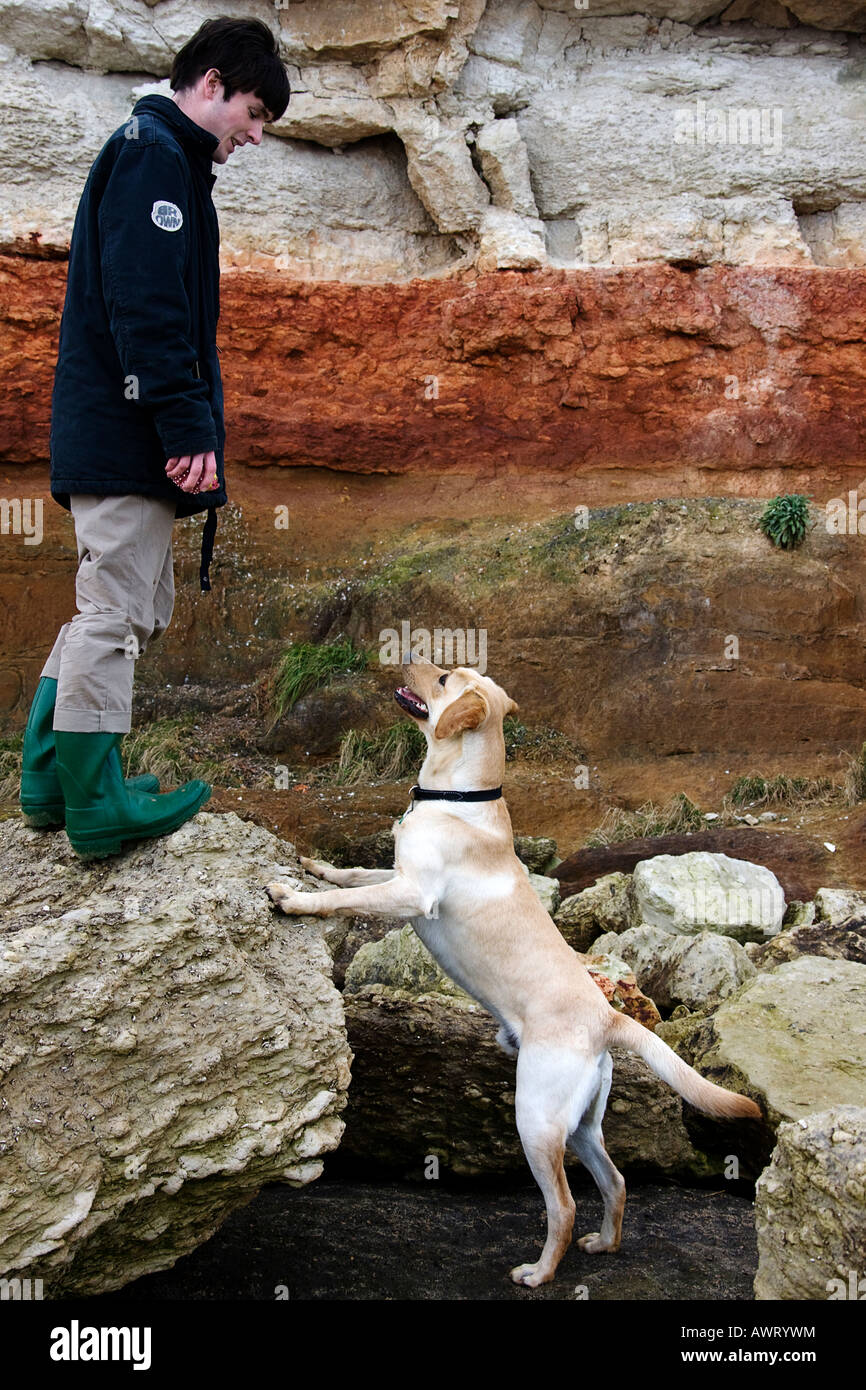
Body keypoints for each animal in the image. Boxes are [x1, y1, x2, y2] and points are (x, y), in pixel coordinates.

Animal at [268, 656, 761, 1284]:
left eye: (445, 679)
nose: (408, 656)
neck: (457, 793)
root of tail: (608, 1017)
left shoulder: (412, 895)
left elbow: (343, 900)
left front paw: (295, 898)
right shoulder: (396, 877)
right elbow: (354, 874)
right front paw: (316, 866)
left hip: (536, 1117)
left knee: (565, 1204)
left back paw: (540, 1272)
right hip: (580, 1124)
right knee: (616, 1180)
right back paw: (605, 1244)